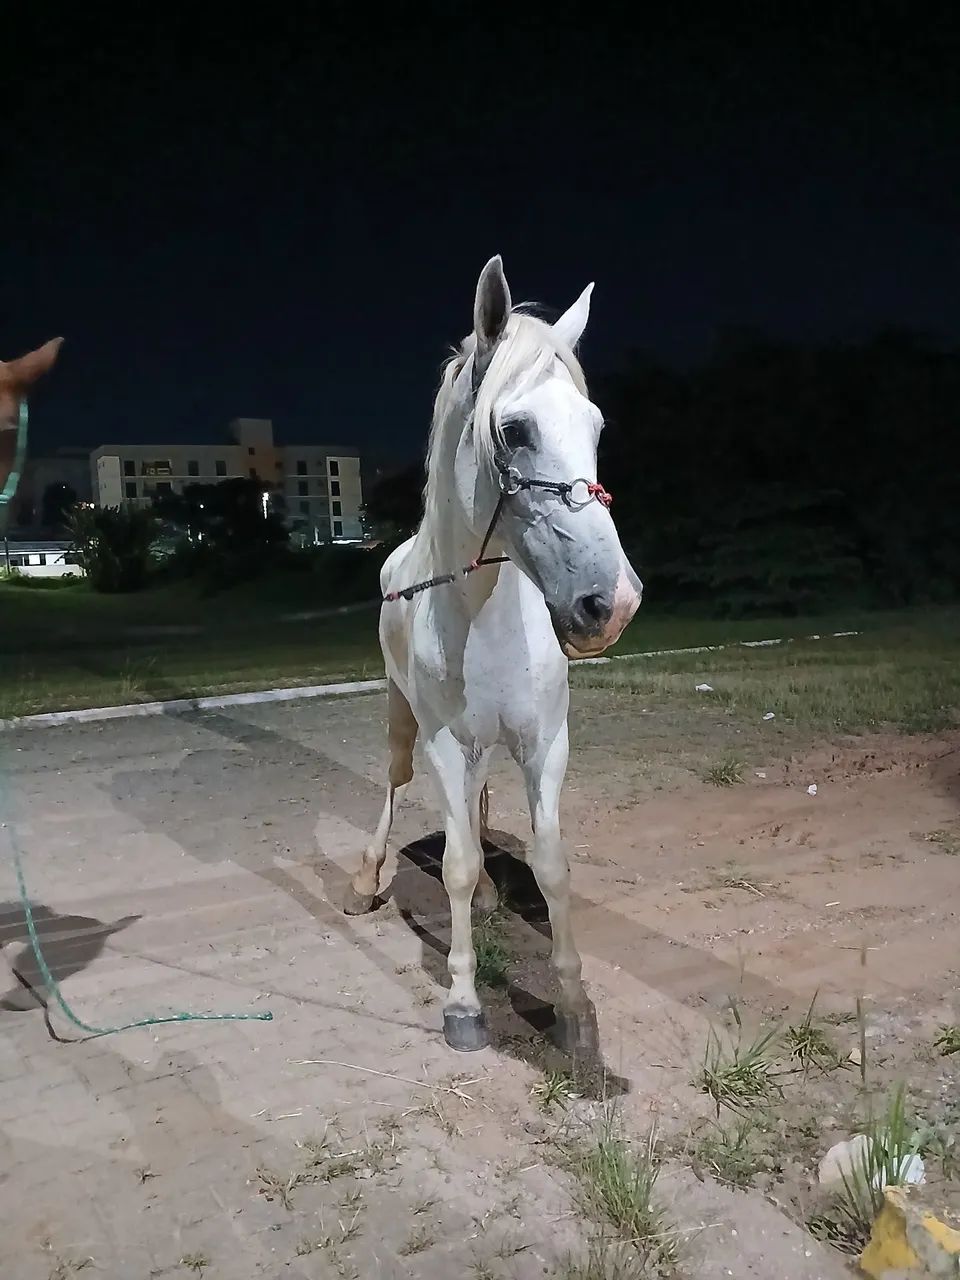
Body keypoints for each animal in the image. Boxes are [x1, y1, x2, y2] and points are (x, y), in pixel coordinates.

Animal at [345, 258, 642, 1054]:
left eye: (595, 425)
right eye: (514, 429)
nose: (611, 603)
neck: (484, 615)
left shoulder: (546, 744)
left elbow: (551, 865)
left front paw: (573, 1009)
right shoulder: (447, 742)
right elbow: (452, 863)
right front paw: (463, 1004)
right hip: (404, 722)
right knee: (395, 788)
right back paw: (367, 879)